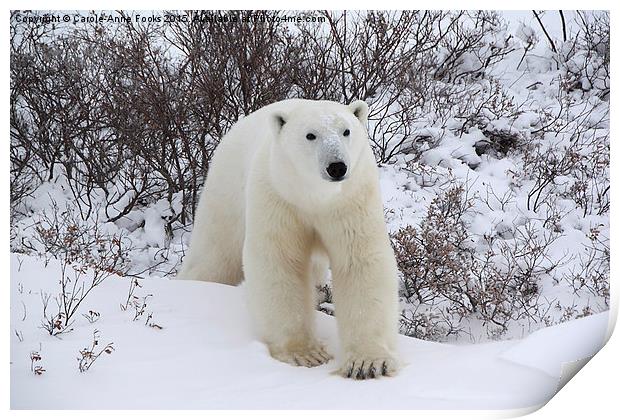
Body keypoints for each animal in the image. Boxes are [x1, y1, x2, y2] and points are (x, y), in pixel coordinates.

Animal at [178, 100, 402, 378]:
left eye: (346, 131)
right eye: (310, 135)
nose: (336, 166)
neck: (315, 198)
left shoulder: (352, 200)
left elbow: (360, 263)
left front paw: (368, 362)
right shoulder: (278, 197)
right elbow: (280, 262)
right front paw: (306, 354)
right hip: (227, 188)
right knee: (215, 254)